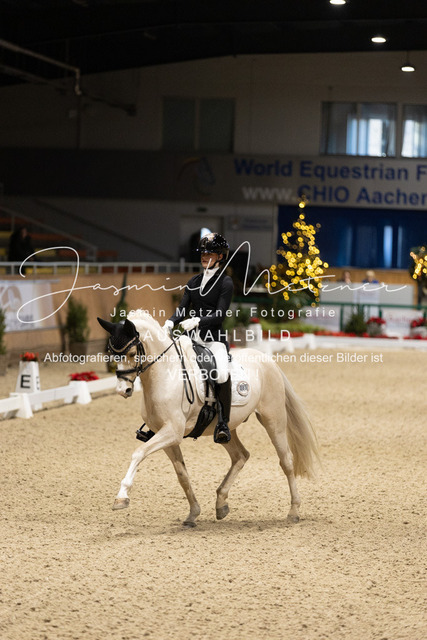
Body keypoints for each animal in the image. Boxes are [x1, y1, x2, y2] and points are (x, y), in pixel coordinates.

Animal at [97, 310, 319, 526]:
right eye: (111, 353)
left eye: (132, 353)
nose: (123, 390)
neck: (166, 374)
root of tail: (266, 359)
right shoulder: (166, 436)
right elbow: (182, 475)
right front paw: (193, 513)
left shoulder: (172, 432)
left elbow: (138, 453)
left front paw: (121, 498)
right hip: (227, 428)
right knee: (240, 455)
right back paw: (221, 504)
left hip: (273, 419)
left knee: (286, 461)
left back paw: (293, 512)